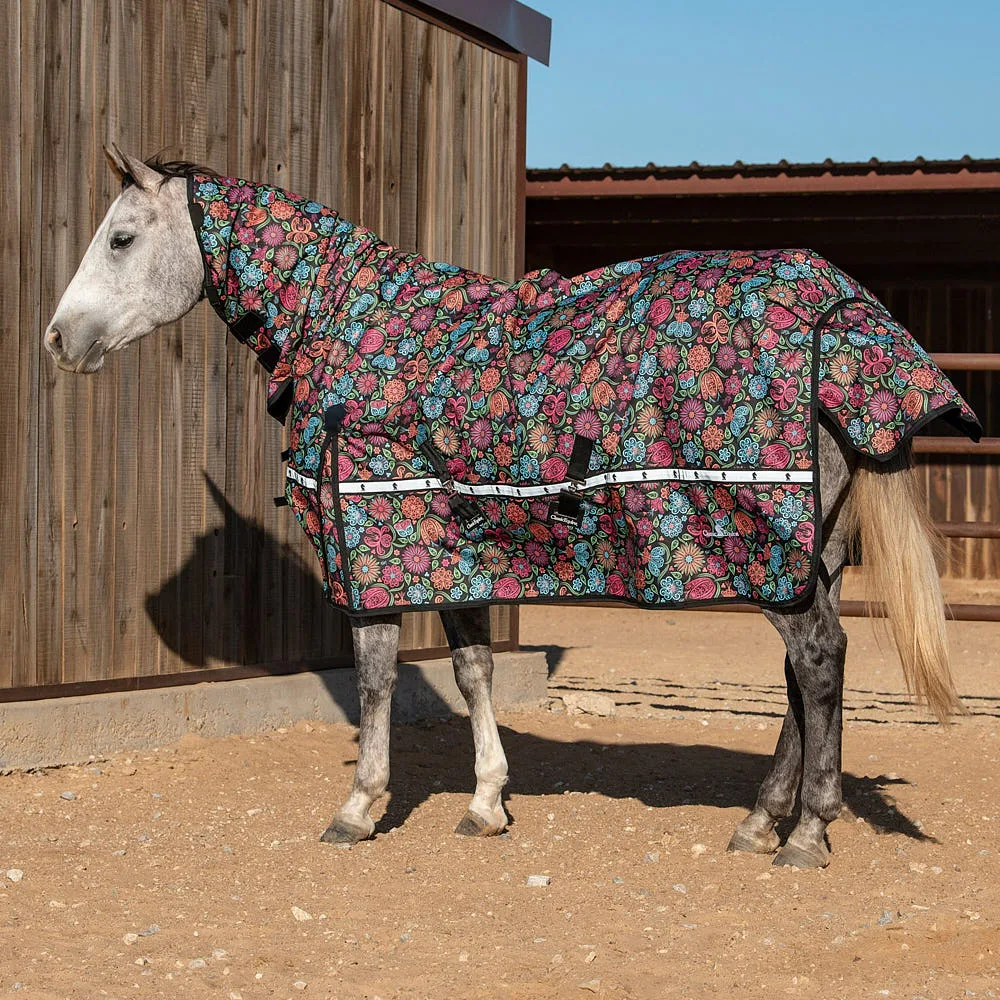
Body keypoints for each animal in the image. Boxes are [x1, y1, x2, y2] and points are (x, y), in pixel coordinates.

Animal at [43, 147, 973, 869]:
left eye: (121, 238)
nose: (57, 339)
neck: (348, 323)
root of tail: (841, 310)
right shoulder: (454, 547)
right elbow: (473, 669)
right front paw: (486, 803)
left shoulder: (371, 544)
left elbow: (377, 676)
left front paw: (359, 808)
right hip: (807, 556)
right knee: (801, 676)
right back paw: (760, 820)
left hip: (763, 550)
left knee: (817, 660)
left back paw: (806, 833)